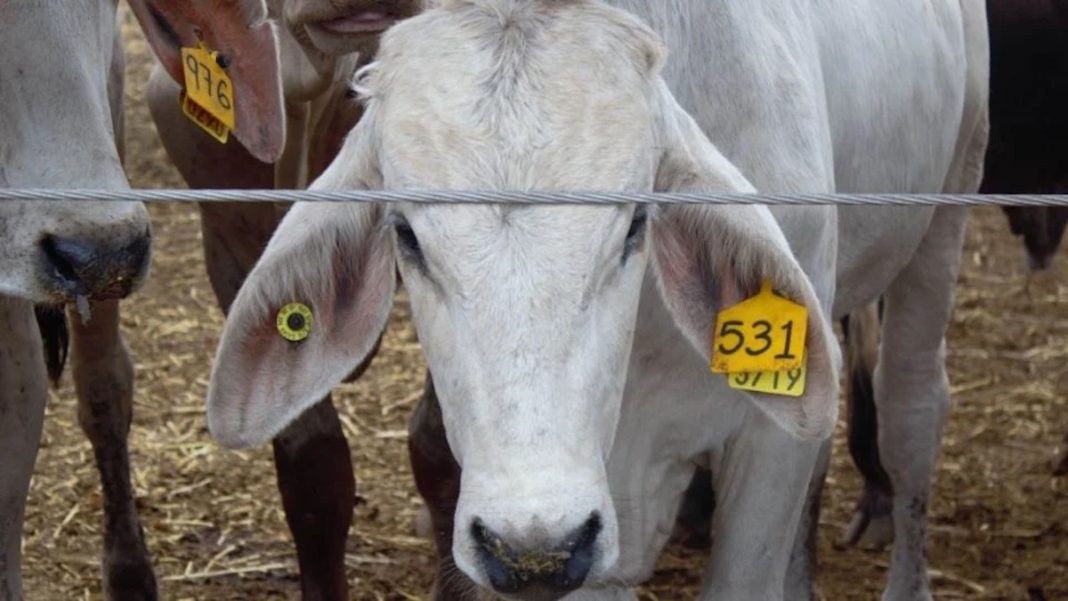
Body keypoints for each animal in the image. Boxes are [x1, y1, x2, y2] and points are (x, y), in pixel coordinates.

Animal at [204, 0, 989, 599]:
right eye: (406, 233)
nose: (530, 545)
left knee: (913, 406)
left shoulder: (765, 449)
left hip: (947, 211)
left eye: (637, 220)